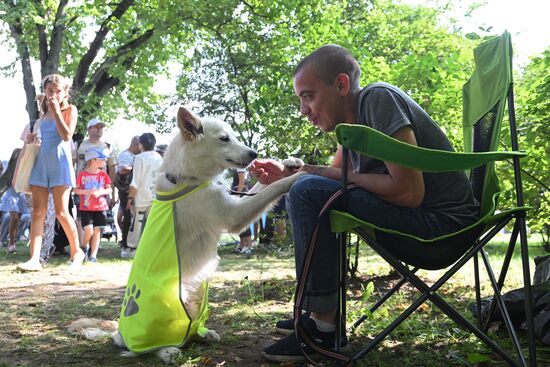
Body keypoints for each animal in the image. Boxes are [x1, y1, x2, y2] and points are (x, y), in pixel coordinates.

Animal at [69, 106, 306, 366]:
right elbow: (271, 190)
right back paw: (167, 351)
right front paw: (296, 177)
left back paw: (202, 334)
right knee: (147, 347)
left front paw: (288, 164)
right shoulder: (234, 215)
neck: (186, 177)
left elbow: (261, 187)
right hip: (169, 300)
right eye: (224, 138)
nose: (254, 154)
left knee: (186, 331)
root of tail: (119, 333)